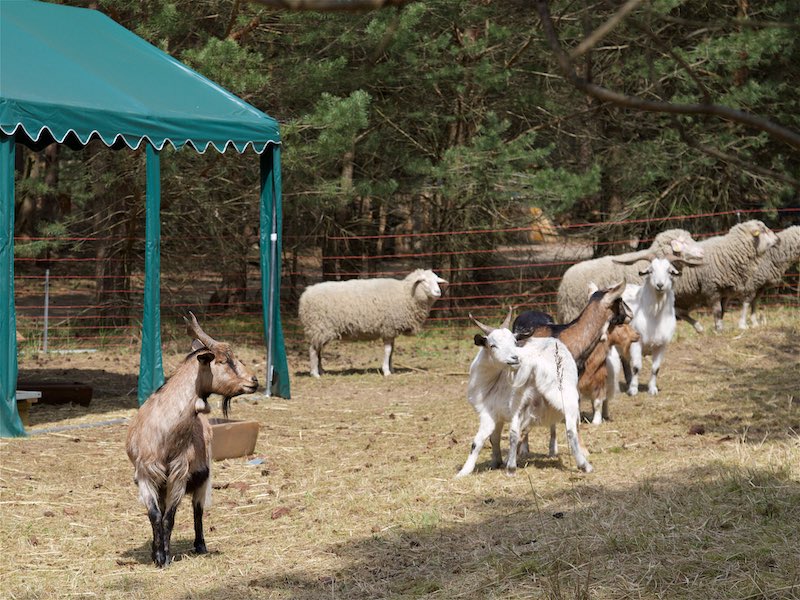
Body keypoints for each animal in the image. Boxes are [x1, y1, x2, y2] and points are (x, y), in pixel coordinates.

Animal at [125, 314, 258, 568]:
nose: (254, 381)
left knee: (198, 509)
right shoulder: (145, 474)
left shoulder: (180, 472)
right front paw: (156, 554)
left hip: (202, 477)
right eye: (225, 360)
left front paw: (165, 557)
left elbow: (170, 517)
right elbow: (155, 515)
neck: (165, 434)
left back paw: (200, 545)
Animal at [298, 270, 446, 378]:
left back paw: (322, 371)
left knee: (318, 350)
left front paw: (391, 368)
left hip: (321, 330)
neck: (406, 294)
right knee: (313, 350)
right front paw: (386, 371)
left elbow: (392, 350)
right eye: (423, 281)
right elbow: (388, 351)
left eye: (436, 281)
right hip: (319, 326)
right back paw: (315, 374)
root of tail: (305, 295)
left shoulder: (391, 330)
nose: (438, 292)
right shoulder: (388, 327)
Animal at [456, 310, 592, 478]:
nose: (515, 358)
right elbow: (488, 439)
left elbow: (487, 439)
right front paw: (488, 464)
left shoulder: (492, 412)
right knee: (565, 430)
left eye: (515, 342)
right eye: (492, 345)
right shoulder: (495, 413)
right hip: (558, 398)